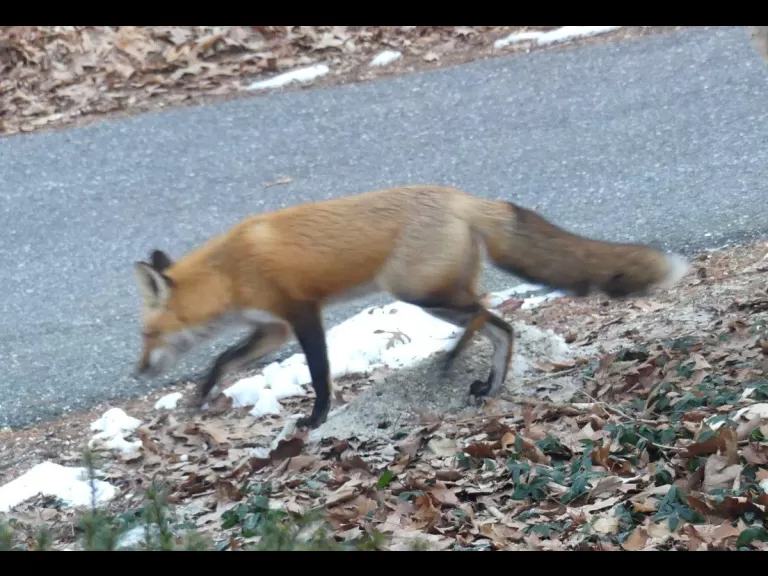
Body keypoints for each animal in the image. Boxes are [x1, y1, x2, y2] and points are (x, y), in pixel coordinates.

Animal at [131, 185, 689, 431]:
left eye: (146, 335)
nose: (138, 371)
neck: (229, 271)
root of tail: (461, 197)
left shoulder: (303, 314)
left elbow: (320, 375)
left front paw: (315, 418)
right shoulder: (274, 329)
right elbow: (221, 360)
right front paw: (200, 396)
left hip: (417, 291)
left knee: (486, 310)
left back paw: (451, 359)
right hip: (432, 294)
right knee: (502, 326)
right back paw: (488, 385)